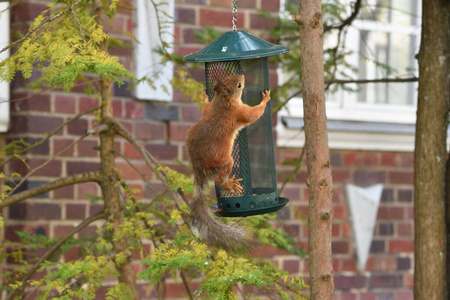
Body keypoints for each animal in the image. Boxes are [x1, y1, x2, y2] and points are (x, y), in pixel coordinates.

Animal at [186, 74, 270, 250]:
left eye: (229, 76)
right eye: (238, 85)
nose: (243, 76)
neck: (223, 102)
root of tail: (199, 169)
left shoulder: (210, 108)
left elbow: (205, 108)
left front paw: (204, 95)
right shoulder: (239, 112)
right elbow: (252, 114)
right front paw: (265, 99)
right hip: (226, 161)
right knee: (220, 180)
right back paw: (230, 184)